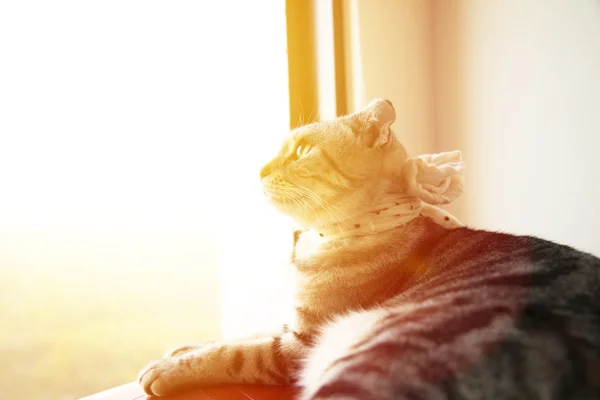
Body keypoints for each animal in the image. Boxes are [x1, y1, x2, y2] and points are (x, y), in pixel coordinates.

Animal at [137, 98, 600, 398]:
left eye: (302, 150)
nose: (259, 169)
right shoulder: (292, 322)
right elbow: (246, 332)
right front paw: (186, 348)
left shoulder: (301, 342)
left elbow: (238, 353)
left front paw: (169, 367)